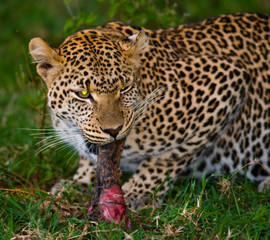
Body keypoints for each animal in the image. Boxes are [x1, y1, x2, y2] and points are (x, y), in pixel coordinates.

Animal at [29, 12, 270, 209]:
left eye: (124, 88)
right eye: (83, 94)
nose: (113, 130)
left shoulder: (227, 79)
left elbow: (169, 157)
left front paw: (137, 193)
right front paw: (76, 183)